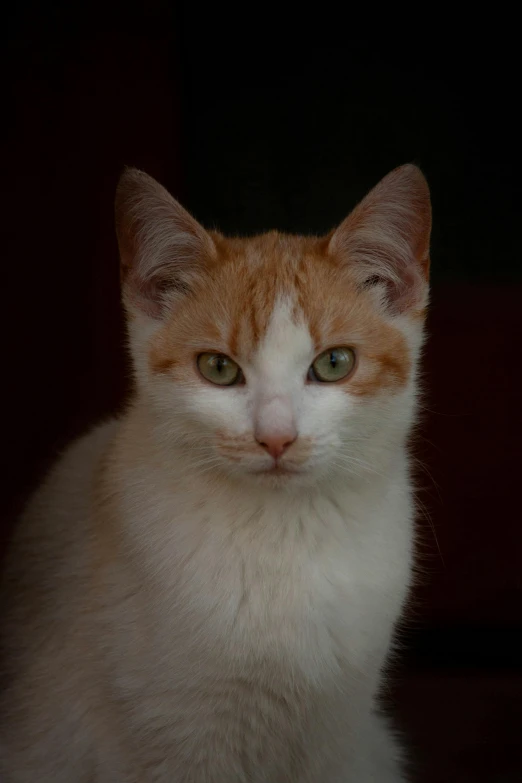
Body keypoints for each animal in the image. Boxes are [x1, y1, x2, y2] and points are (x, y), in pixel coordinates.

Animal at [1, 162, 430, 780]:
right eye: (218, 369)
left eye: (334, 362)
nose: (276, 436)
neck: (282, 537)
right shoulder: (173, 743)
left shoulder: (338, 738)